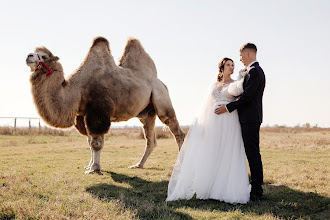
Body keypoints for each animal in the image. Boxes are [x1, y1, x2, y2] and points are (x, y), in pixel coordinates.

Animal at [25, 36, 186, 174]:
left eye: (44, 56)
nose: (28, 56)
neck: (77, 89)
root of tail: (160, 82)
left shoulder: (98, 112)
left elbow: (96, 143)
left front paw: (94, 169)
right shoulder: (83, 115)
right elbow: (89, 142)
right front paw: (90, 166)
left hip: (161, 97)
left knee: (175, 129)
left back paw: (178, 164)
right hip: (147, 113)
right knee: (150, 140)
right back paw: (138, 165)